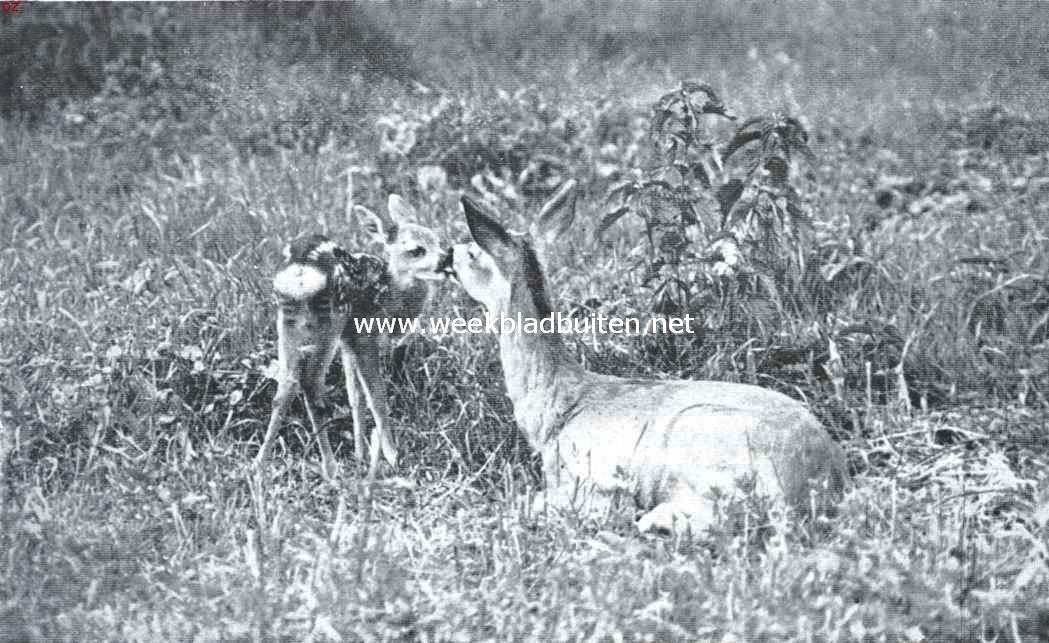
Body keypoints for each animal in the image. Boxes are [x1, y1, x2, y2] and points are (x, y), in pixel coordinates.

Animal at [260, 195, 444, 482]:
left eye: (436, 238)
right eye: (417, 250)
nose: (447, 259)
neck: (391, 299)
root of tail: (300, 274)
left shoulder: (348, 340)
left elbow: (354, 396)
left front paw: (361, 453)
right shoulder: (364, 336)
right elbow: (376, 397)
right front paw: (391, 456)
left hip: (288, 322)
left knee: (286, 384)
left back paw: (259, 466)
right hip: (331, 319)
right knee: (311, 382)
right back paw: (330, 468)